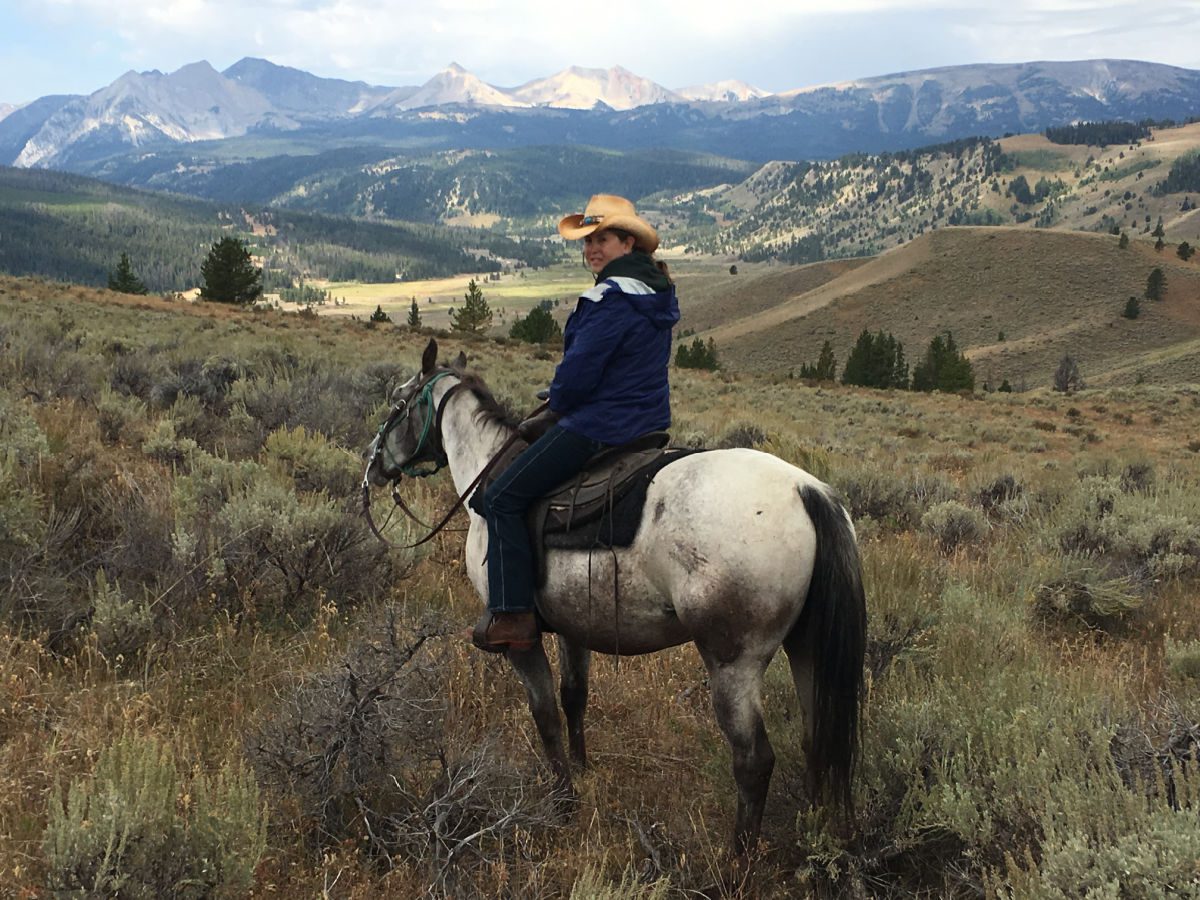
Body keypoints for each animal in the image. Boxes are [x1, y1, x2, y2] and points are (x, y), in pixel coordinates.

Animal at [360, 340, 868, 854]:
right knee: (815, 737)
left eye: (397, 401)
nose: (372, 462)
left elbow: (545, 714)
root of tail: (806, 490)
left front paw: (563, 803)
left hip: (733, 663)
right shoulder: (572, 625)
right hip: (806, 647)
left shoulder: (519, 638)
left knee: (754, 760)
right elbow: (574, 696)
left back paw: (738, 858)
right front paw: (583, 770)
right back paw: (811, 832)